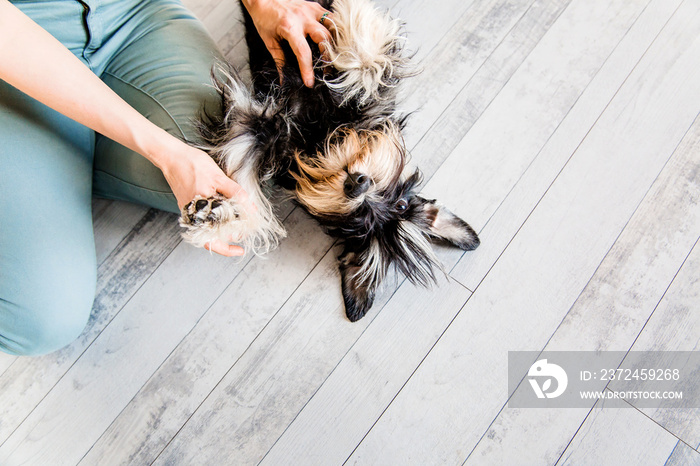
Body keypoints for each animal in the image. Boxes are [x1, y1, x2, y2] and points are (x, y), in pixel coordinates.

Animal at [179, 0, 482, 320]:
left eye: (359, 224)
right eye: (401, 204)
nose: (357, 184)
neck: (321, 146)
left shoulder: (254, 130)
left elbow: (244, 183)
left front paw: (213, 217)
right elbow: (365, 68)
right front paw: (352, 24)